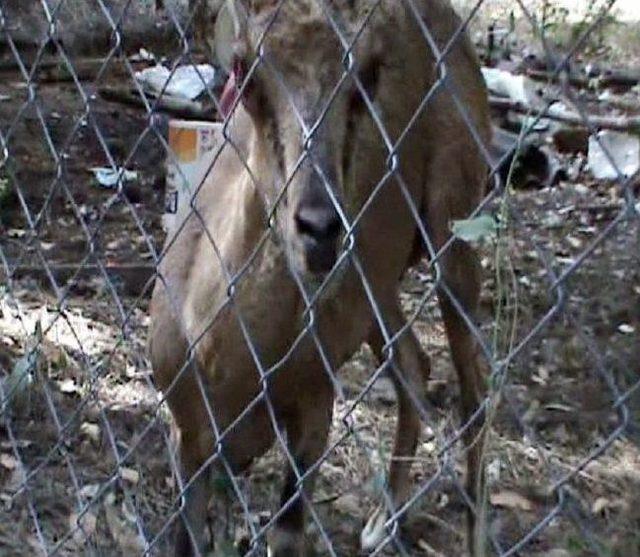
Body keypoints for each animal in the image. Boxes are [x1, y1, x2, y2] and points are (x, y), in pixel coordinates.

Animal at [149, 0, 490, 552]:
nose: (320, 229)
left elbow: (287, 532)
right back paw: (382, 521)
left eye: (368, 74)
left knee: (474, 391)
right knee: (412, 362)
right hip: (375, 285)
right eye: (245, 68)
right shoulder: (190, 436)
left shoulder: (313, 412)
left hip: (452, 230)